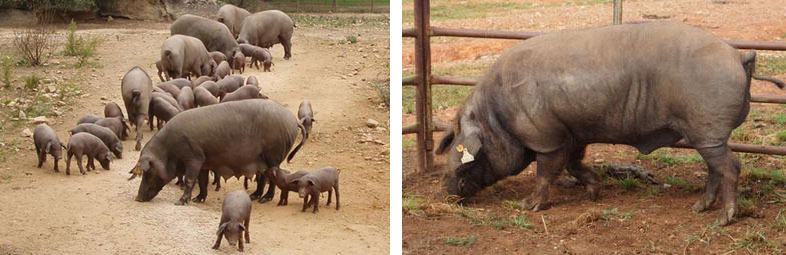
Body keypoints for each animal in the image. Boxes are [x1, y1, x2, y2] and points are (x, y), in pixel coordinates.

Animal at [129, 98, 304, 204]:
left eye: (148, 172)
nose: (137, 198)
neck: (169, 151)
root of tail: (293, 120)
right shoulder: (204, 162)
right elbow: (202, 181)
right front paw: (198, 199)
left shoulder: (194, 158)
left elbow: (190, 180)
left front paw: (181, 202)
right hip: (264, 158)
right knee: (263, 176)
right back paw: (253, 196)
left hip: (274, 155)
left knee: (272, 176)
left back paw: (264, 199)